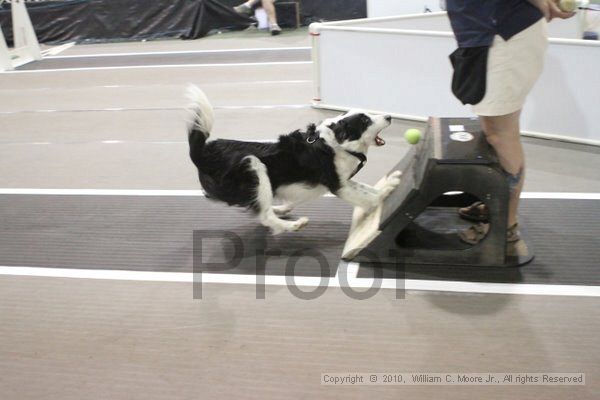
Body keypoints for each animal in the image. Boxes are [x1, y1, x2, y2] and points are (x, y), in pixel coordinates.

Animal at [185, 85, 400, 234]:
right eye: (365, 121)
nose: (389, 116)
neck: (336, 143)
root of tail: (204, 153)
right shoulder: (338, 185)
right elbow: (369, 197)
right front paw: (384, 195)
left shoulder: (344, 180)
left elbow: (367, 189)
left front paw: (389, 183)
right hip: (255, 168)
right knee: (265, 216)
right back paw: (294, 225)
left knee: (263, 209)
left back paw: (281, 210)